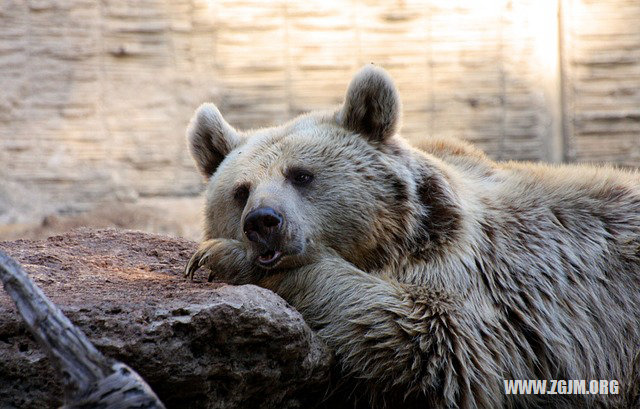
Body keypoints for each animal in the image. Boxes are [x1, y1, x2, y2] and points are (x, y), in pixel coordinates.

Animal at [182, 65, 640, 406]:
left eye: (301, 175)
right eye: (241, 191)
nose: (262, 221)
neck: (391, 243)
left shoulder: (483, 285)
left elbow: (429, 340)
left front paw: (219, 257)